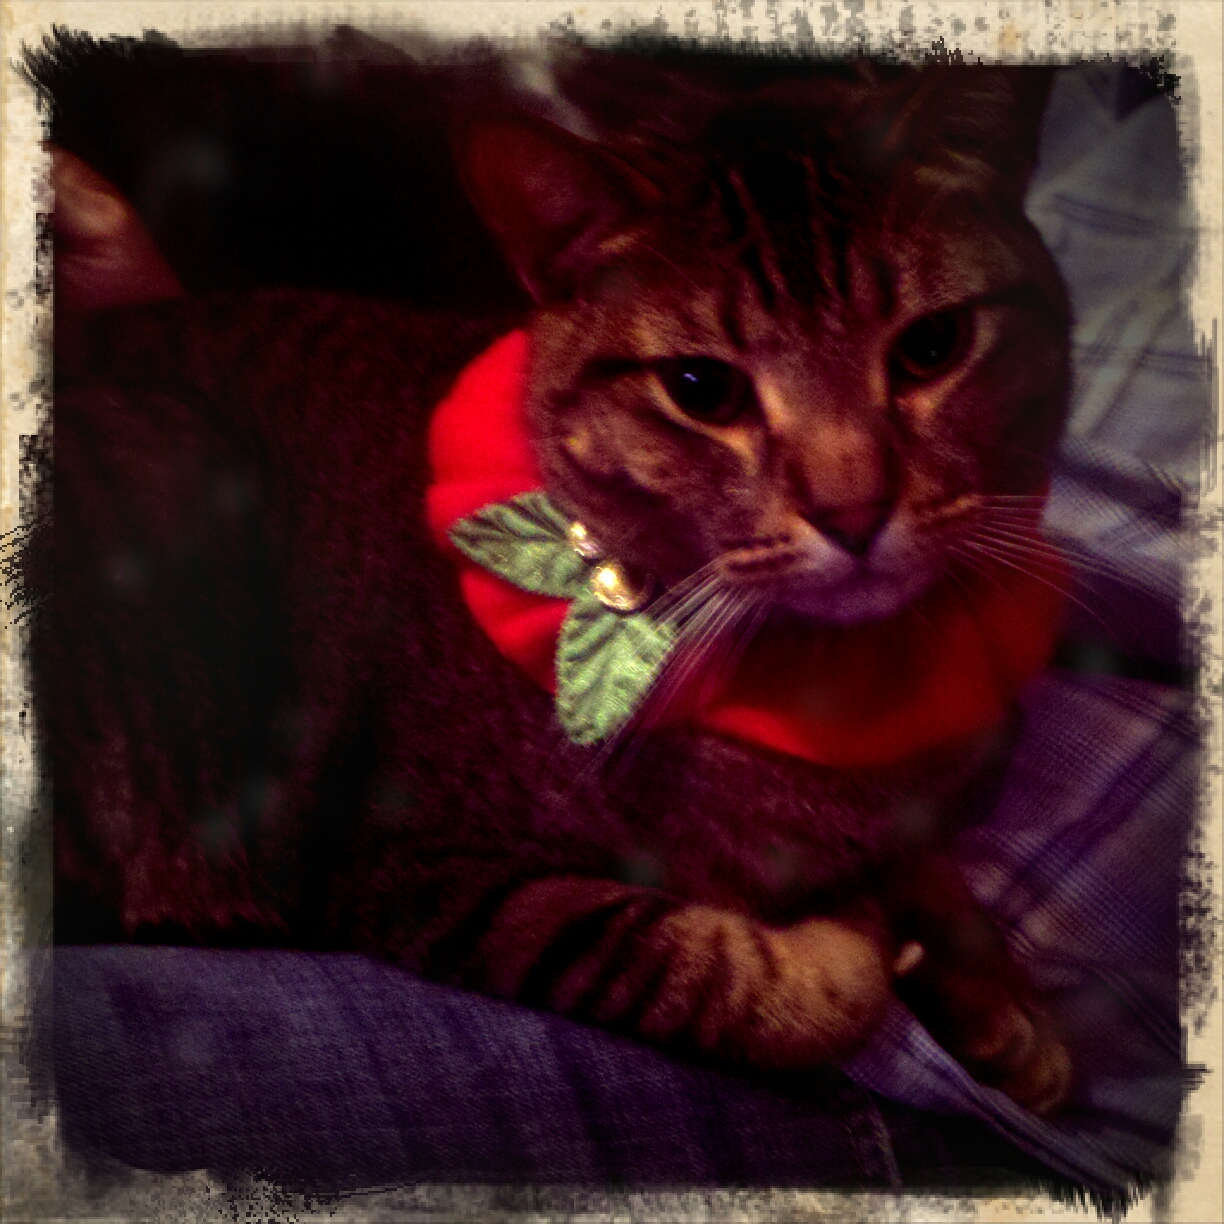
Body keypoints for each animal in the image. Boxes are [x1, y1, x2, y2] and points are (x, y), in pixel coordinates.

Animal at [35, 56, 1074, 1115]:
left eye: (933, 346)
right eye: (702, 390)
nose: (854, 510)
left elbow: (921, 859)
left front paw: (989, 985)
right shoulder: (428, 872)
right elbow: (737, 979)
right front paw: (857, 933)